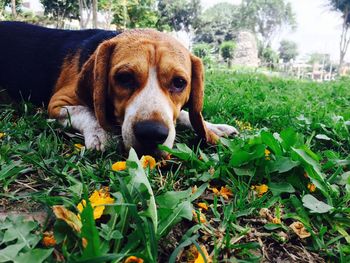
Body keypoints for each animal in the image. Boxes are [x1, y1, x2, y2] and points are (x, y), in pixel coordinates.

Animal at [0, 22, 238, 157]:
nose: (152, 133)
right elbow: (87, 110)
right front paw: (100, 133)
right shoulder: (58, 102)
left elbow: (184, 114)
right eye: (124, 78)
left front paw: (212, 127)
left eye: (179, 82)